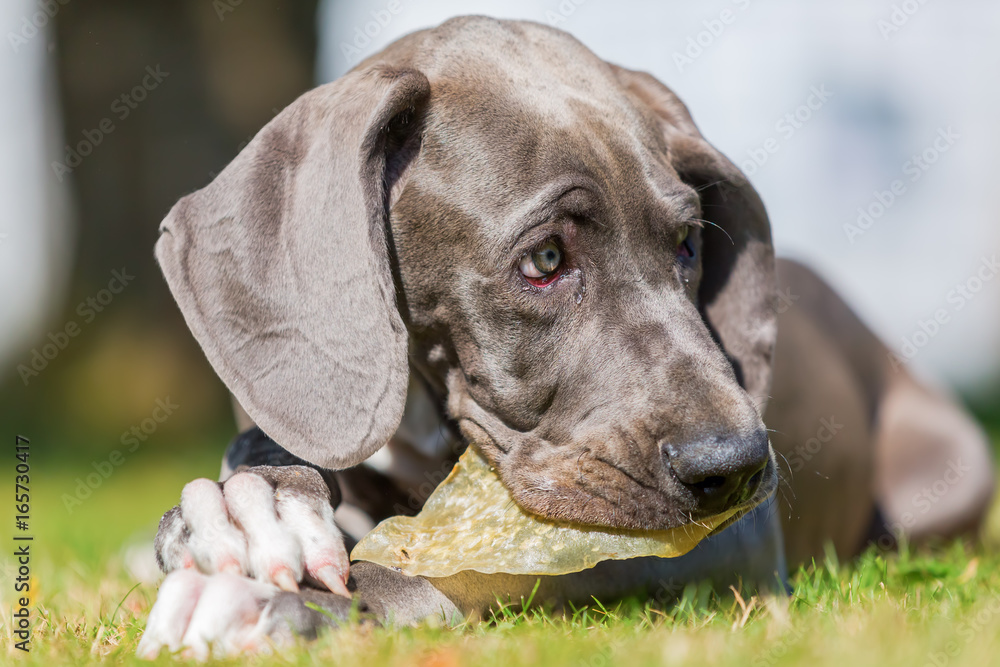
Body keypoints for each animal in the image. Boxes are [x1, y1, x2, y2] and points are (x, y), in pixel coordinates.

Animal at [139, 14, 992, 656]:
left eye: (689, 244)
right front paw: (253, 506)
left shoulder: (726, 543)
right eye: (545, 259)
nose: (736, 465)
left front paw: (296, 606)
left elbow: (506, 564)